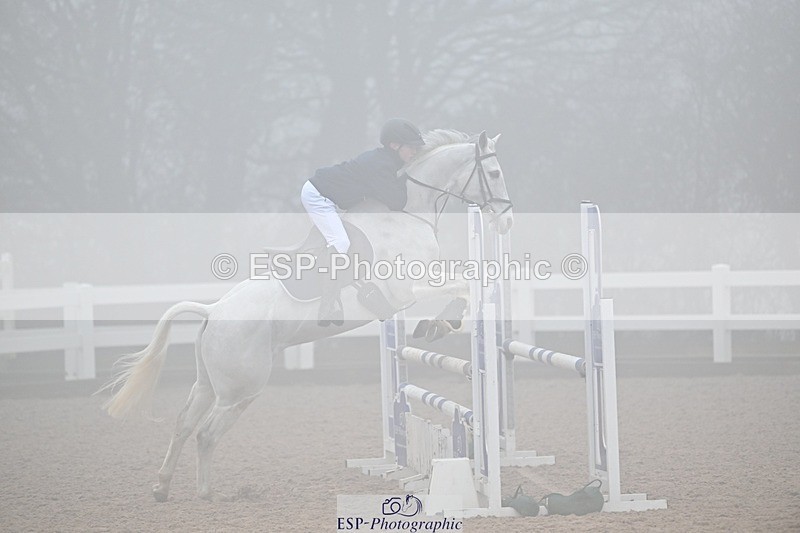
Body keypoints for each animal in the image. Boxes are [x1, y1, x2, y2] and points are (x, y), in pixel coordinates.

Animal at [100, 129, 514, 501]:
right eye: (494, 173)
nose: (505, 219)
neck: (409, 213)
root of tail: (213, 310)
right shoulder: (407, 289)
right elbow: (462, 287)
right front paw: (441, 323)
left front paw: (438, 323)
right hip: (241, 389)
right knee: (206, 433)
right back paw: (206, 494)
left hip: (208, 384)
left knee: (184, 424)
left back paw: (162, 487)